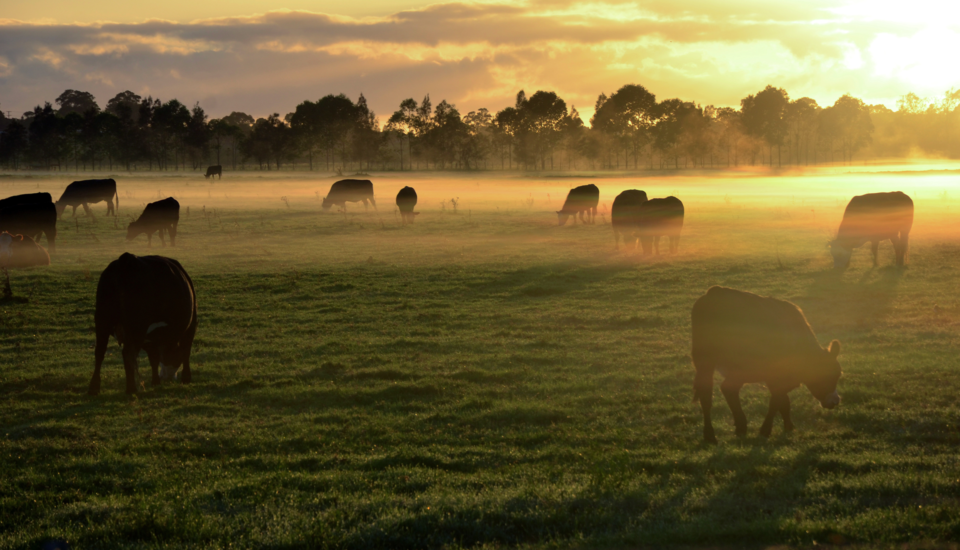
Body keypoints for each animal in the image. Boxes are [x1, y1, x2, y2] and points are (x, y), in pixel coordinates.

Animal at [87, 254, 197, 396]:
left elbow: (154, 358)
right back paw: (131, 389)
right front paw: (186, 378)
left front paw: (155, 381)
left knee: (99, 352)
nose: (167, 377)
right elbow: (185, 352)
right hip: (136, 328)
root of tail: (127, 259)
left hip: (102, 321)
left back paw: (94, 387)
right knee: (128, 354)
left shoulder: (150, 340)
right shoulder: (191, 327)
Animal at [688, 286, 840, 446]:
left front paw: (788, 426)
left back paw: (715, 434)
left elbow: (784, 401)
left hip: (706, 362)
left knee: (709, 394)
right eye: (829, 376)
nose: (835, 401)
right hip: (739, 367)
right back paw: (732, 429)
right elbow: (777, 401)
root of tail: (715, 292)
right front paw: (766, 430)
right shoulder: (777, 377)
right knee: (725, 389)